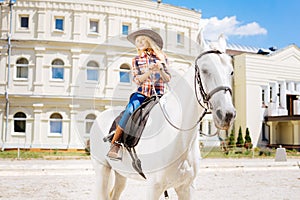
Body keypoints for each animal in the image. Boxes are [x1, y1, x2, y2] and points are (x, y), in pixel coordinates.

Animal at [90, 30, 236, 200]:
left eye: (231, 72)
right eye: (205, 70)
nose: (227, 114)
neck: (179, 137)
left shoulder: (186, 188)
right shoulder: (153, 188)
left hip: (121, 175)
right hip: (102, 171)